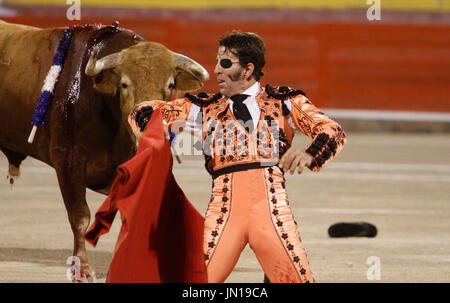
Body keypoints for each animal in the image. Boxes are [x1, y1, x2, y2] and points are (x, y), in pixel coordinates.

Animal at [0, 20, 209, 282]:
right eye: (124, 84)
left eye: (170, 85)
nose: (147, 123)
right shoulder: (67, 163)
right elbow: (80, 217)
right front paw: (83, 270)